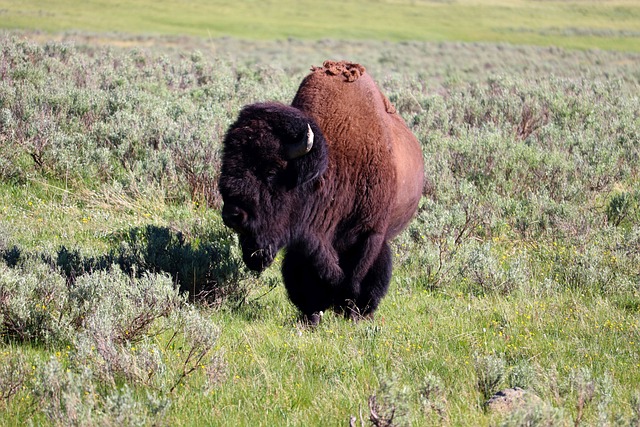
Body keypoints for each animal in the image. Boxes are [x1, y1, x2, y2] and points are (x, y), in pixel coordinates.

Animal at [220, 60, 424, 324]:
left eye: (272, 171)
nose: (232, 215)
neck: (332, 163)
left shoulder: (371, 234)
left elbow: (357, 276)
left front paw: (352, 313)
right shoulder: (304, 241)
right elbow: (307, 278)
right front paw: (313, 316)